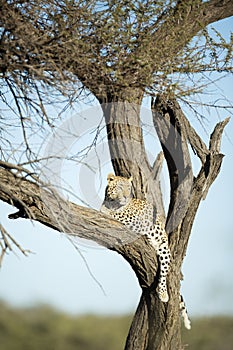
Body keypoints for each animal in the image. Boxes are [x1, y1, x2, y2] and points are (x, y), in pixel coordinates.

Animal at [100, 172, 191, 328]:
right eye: (120, 187)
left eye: (128, 188)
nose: (126, 197)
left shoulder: (132, 219)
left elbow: (117, 215)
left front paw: (108, 212)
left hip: (164, 249)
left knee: (163, 273)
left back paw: (163, 293)